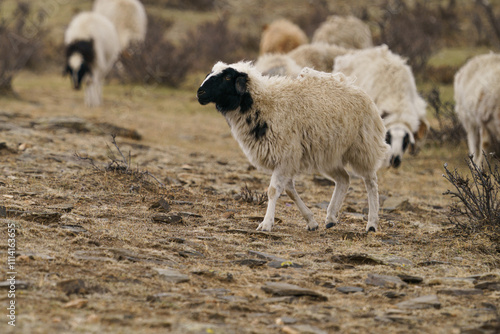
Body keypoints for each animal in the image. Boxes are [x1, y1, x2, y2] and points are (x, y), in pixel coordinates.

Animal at [197, 60, 388, 232]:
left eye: (228, 77)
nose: (200, 92)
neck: (265, 103)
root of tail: (356, 88)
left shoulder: (285, 154)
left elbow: (273, 190)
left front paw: (266, 224)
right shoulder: (286, 159)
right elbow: (289, 190)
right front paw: (311, 222)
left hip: (362, 147)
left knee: (371, 182)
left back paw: (371, 224)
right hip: (328, 153)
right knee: (344, 179)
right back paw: (331, 217)